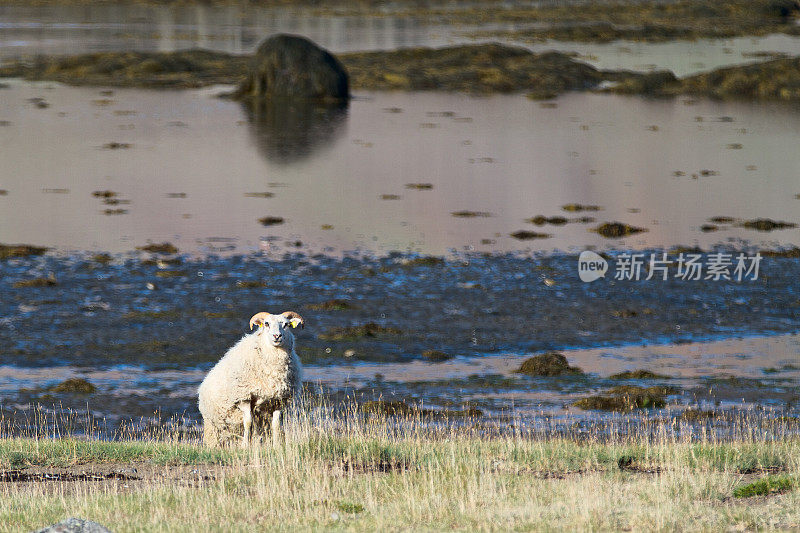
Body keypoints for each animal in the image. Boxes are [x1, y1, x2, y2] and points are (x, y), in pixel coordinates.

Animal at [197, 310, 304, 446]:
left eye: (286, 324)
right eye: (266, 324)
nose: (277, 336)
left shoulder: (278, 400)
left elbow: (276, 424)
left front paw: (276, 445)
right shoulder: (244, 397)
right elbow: (248, 422)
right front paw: (245, 446)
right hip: (212, 427)